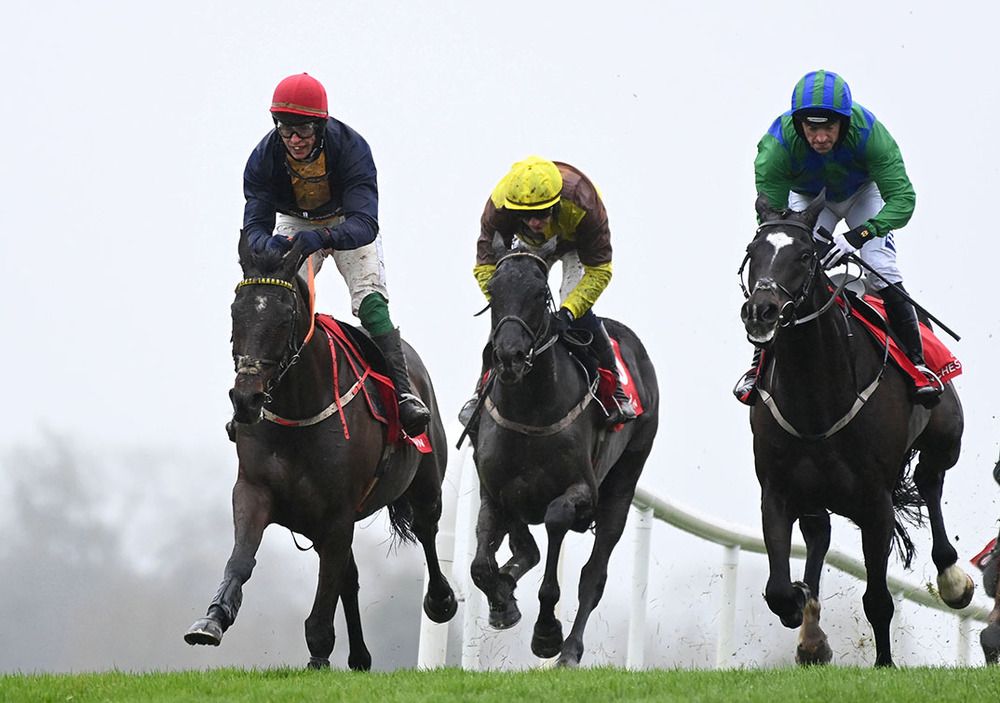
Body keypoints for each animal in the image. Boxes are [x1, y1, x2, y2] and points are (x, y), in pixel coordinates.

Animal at [184, 232, 458, 672]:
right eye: (235, 312)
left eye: (284, 316)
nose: (246, 399)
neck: (298, 410)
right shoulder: (254, 491)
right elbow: (242, 558)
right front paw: (212, 619)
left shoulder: (338, 514)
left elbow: (326, 591)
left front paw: (318, 653)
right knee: (350, 576)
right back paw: (360, 656)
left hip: (425, 481)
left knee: (427, 530)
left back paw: (440, 599)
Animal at [470, 239, 660, 668]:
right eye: (493, 292)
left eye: (540, 294)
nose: (509, 355)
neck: (530, 410)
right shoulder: (495, 489)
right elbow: (482, 563)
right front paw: (502, 599)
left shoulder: (581, 491)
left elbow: (555, 527)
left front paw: (546, 633)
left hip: (625, 480)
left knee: (593, 575)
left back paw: (570, 649)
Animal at [740, 195, 972, 668]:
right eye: (753, 252)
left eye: (805, 255)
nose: (761, 311)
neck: (816, 398)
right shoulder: (777, 490)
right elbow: (778, 590)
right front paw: (800, 607)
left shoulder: (875, 501)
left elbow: (878, 599)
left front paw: (884, 664)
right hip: (816, 490)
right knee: (820, 534)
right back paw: (811, 633)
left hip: (945, 438)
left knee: (930, 481)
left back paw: (953, 578)